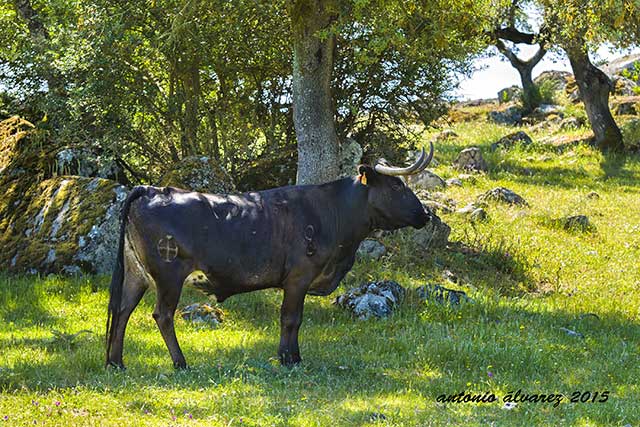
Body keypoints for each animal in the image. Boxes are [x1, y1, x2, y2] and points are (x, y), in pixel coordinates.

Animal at [106, 145, 436, 370]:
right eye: (397, 184)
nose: (425, 214)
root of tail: (154, 189)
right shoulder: (299, 277)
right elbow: (291, 318)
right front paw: (289, 358)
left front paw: (292, 356)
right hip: (168, 274)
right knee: (162, 314)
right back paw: (180, 362)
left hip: (137, 273)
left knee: (122, 311)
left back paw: (116, 362)